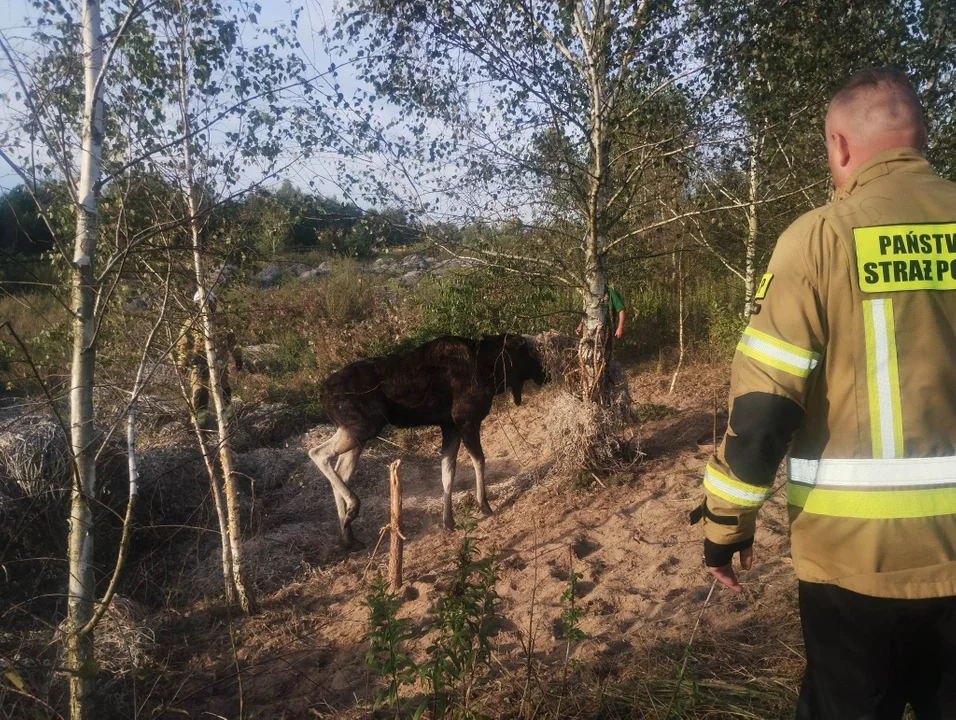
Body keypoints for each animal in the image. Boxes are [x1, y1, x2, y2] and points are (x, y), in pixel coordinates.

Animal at [306, 334, 544, 548]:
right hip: (363, 427)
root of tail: (321, 394)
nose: (545, 374)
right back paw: (353, 507)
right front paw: (484, 505)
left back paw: (349, 537)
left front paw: (448, 522)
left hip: (356, 433)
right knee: (318, 453)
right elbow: (479, 460)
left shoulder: (450, 427)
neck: (491, 370)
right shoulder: (466, 420)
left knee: (340, 470)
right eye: (529, 353)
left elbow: (447, 474)